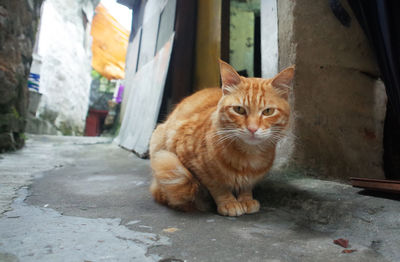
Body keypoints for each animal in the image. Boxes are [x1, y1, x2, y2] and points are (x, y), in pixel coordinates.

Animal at [150, 60, 294, 216]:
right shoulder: (192, 162)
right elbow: (217, 186)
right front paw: (228, 202)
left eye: (268, 111)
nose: (252, 129)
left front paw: (246, 199)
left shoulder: (250, 179)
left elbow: (246, 185)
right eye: (239, 110)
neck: (248, 156)